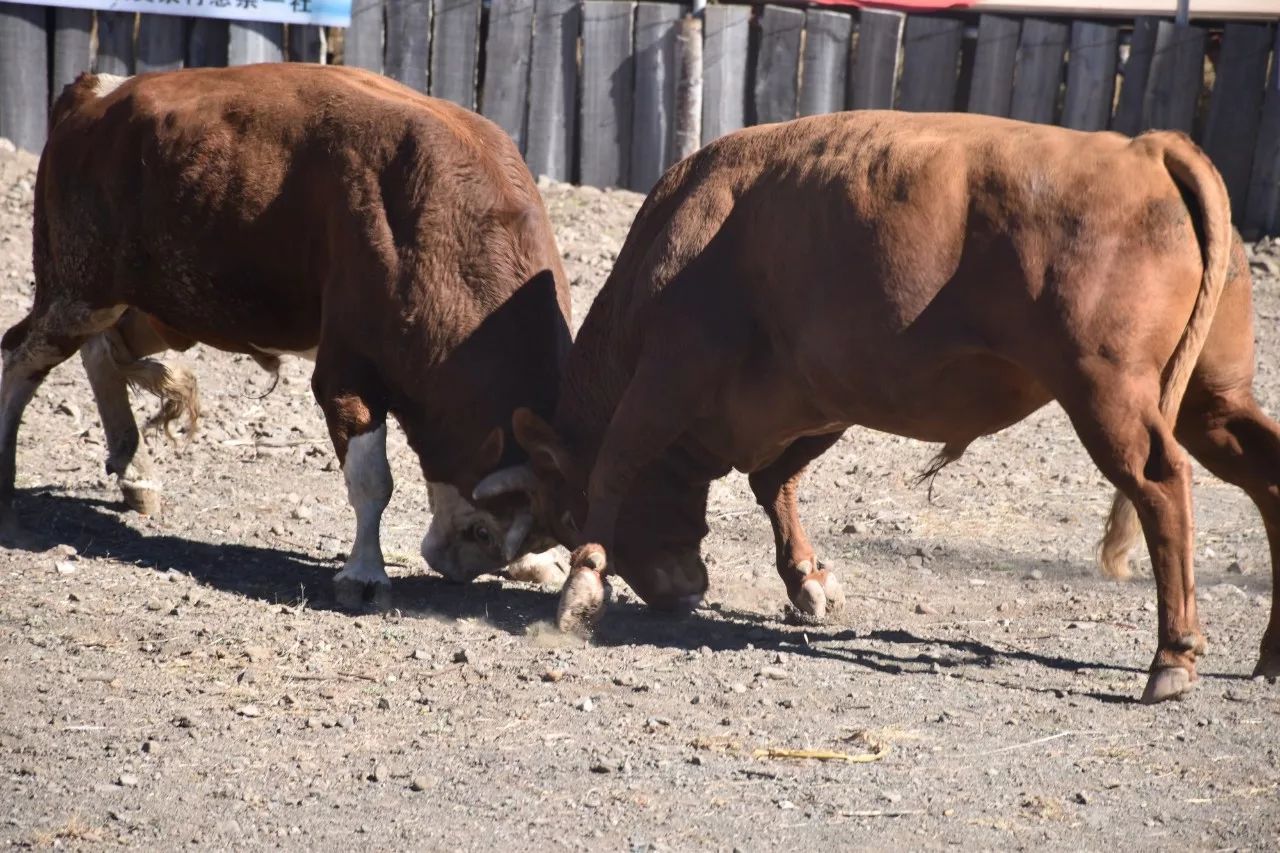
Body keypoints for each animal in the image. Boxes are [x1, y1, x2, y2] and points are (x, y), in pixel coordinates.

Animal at [0, 64, 570, 604]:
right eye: (481, 530)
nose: (461, 566)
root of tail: (98, 90)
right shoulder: (346, 372)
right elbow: (372, 481)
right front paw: (365, 574)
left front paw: (534, 566)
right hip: (75, 287)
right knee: (22, 356)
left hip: (158, 304)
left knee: (103, 349)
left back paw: (135, 472)